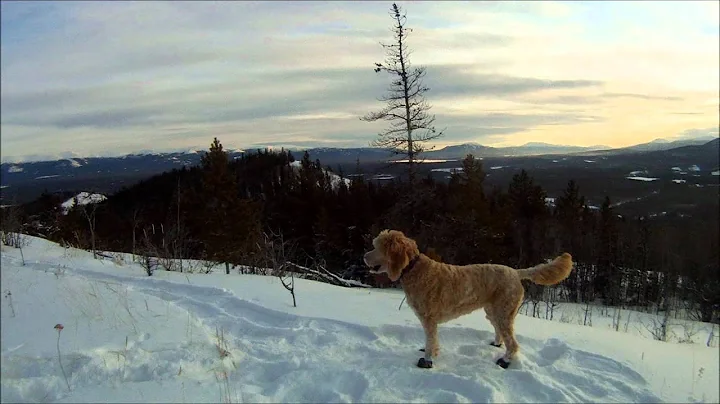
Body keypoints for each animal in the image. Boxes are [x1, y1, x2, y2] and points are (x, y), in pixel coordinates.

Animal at [366, 229, 572, 368]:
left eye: (376, 247)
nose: (363, 256)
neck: (414, 268)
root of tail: (515, 272)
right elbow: (432, 341)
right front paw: (429, 351)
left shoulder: (429, 319)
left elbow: (430, 340)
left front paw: (427, 360)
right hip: (493, 311)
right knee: (501, 334)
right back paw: (496, 344)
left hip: (503, 312)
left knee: (513, 344)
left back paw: (505, 360)